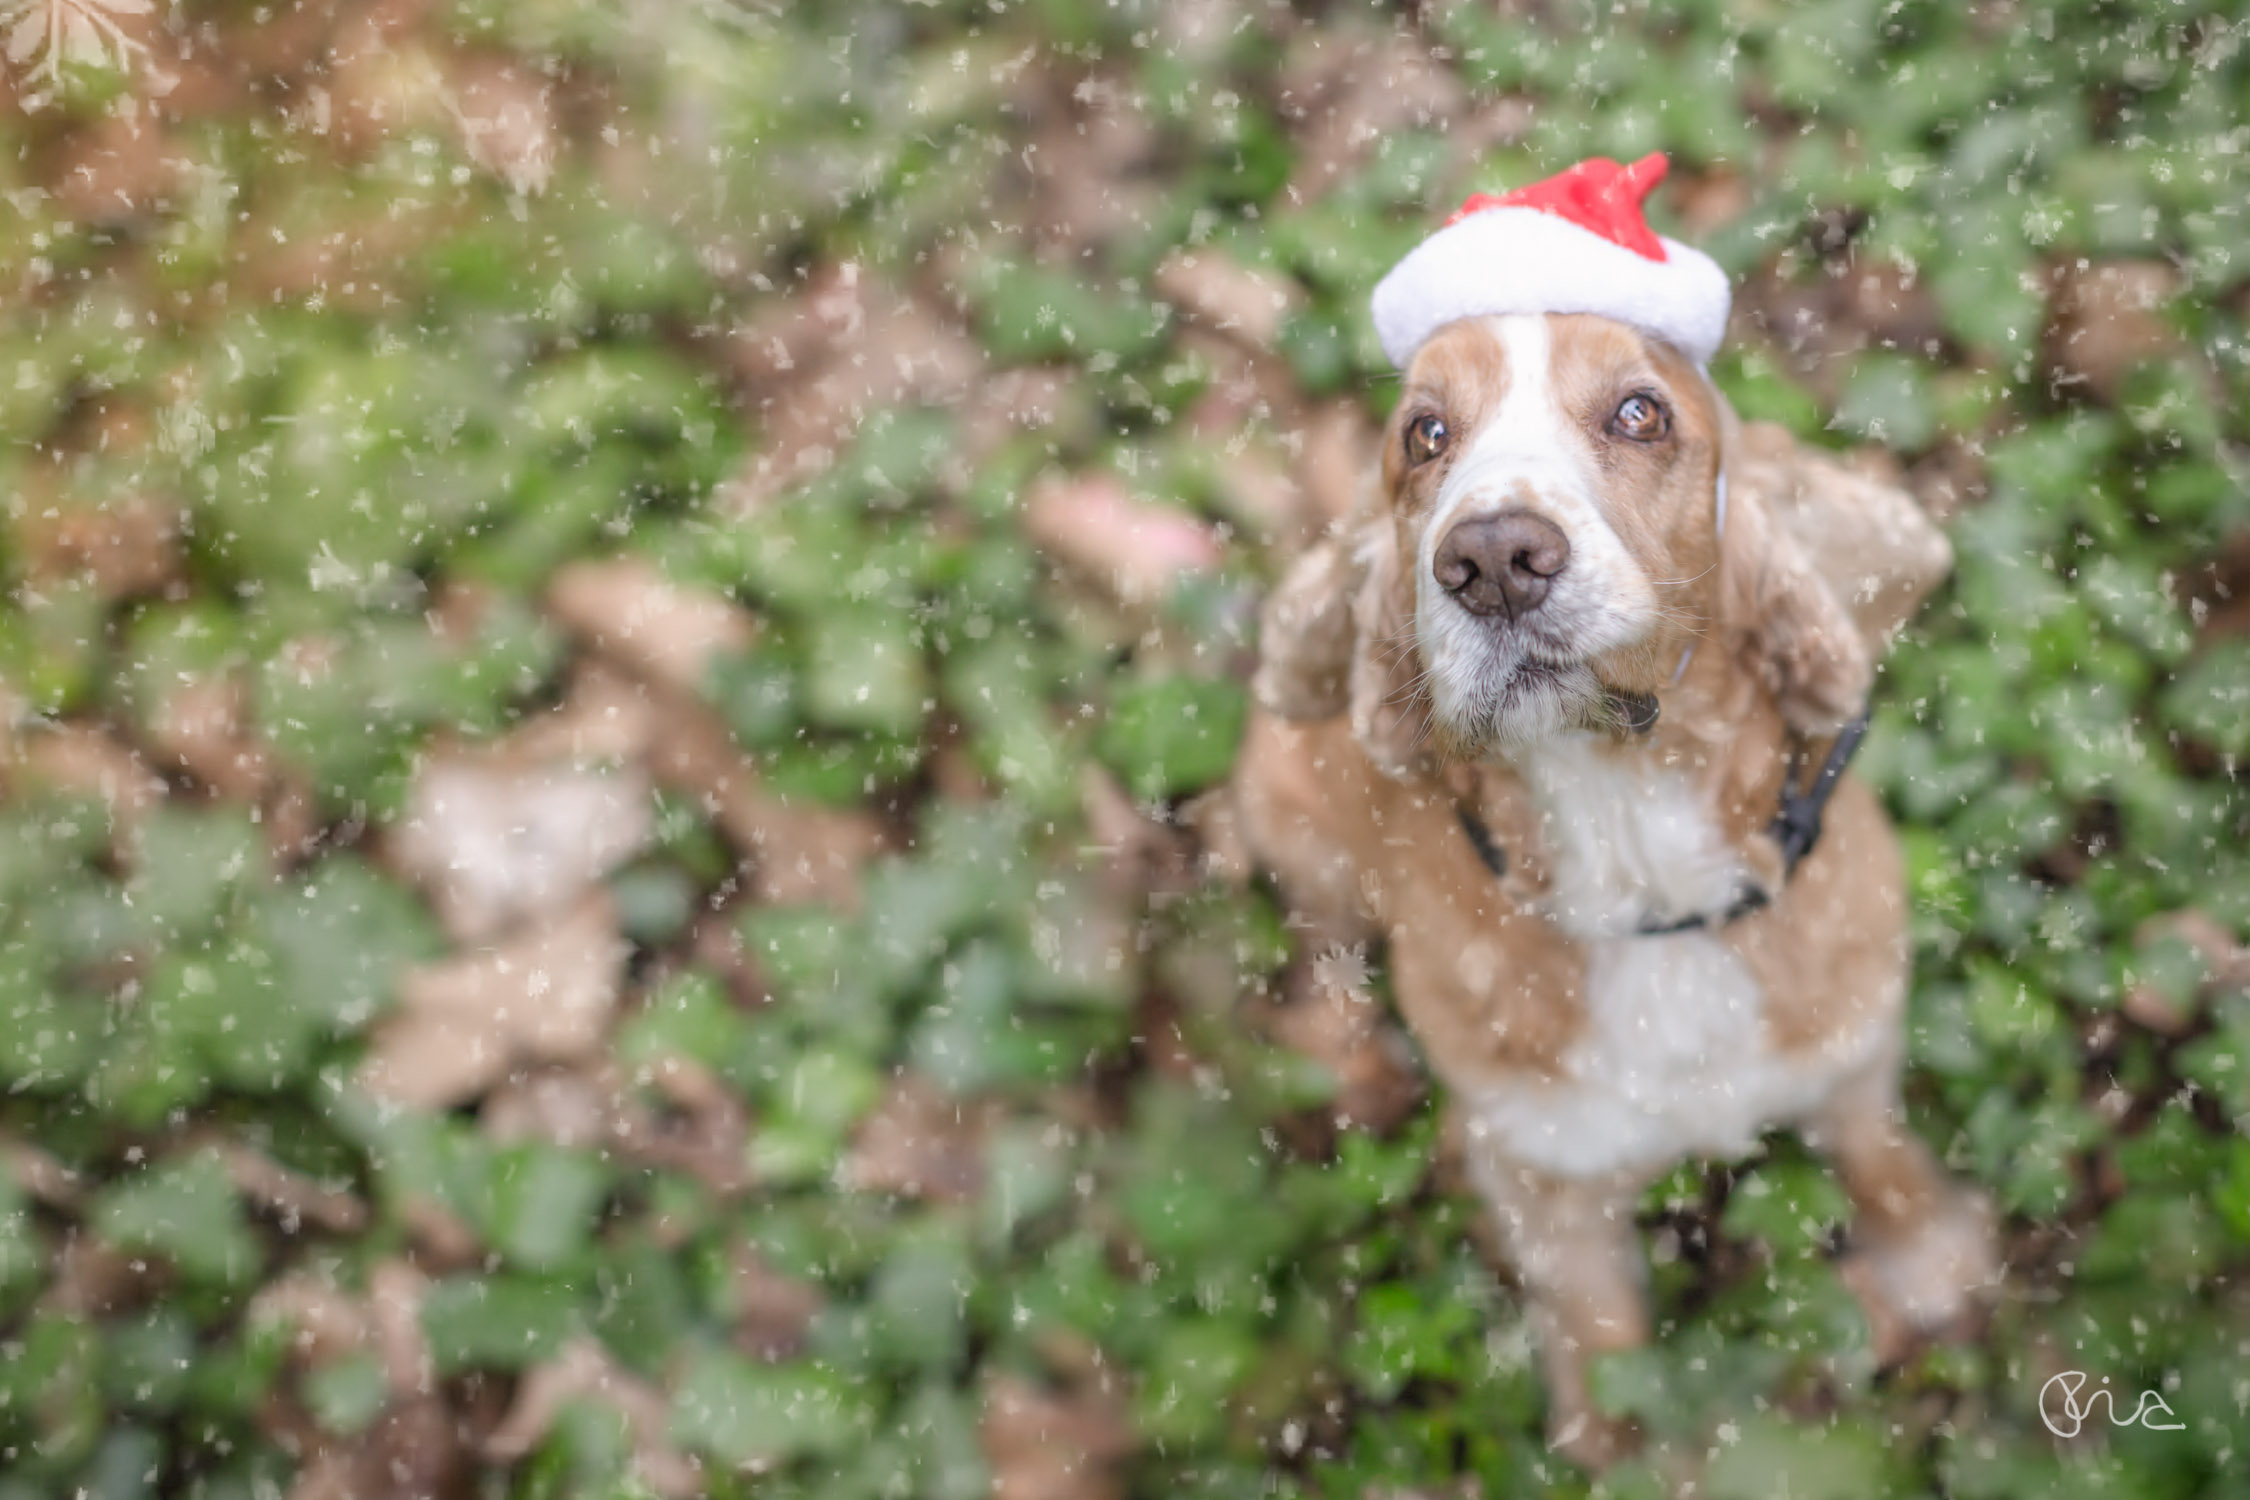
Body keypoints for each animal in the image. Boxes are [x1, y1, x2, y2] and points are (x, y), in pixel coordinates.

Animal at [1242, 308, 1998, 1466]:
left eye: (1641, 413)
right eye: (1424, 434)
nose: (1494, 559)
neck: (1640, 873)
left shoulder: (1852, 1037)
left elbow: (1877, 1152)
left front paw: (1933, 1259)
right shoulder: (1538, 1167)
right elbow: (1597, 1320)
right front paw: (1621, 1440)